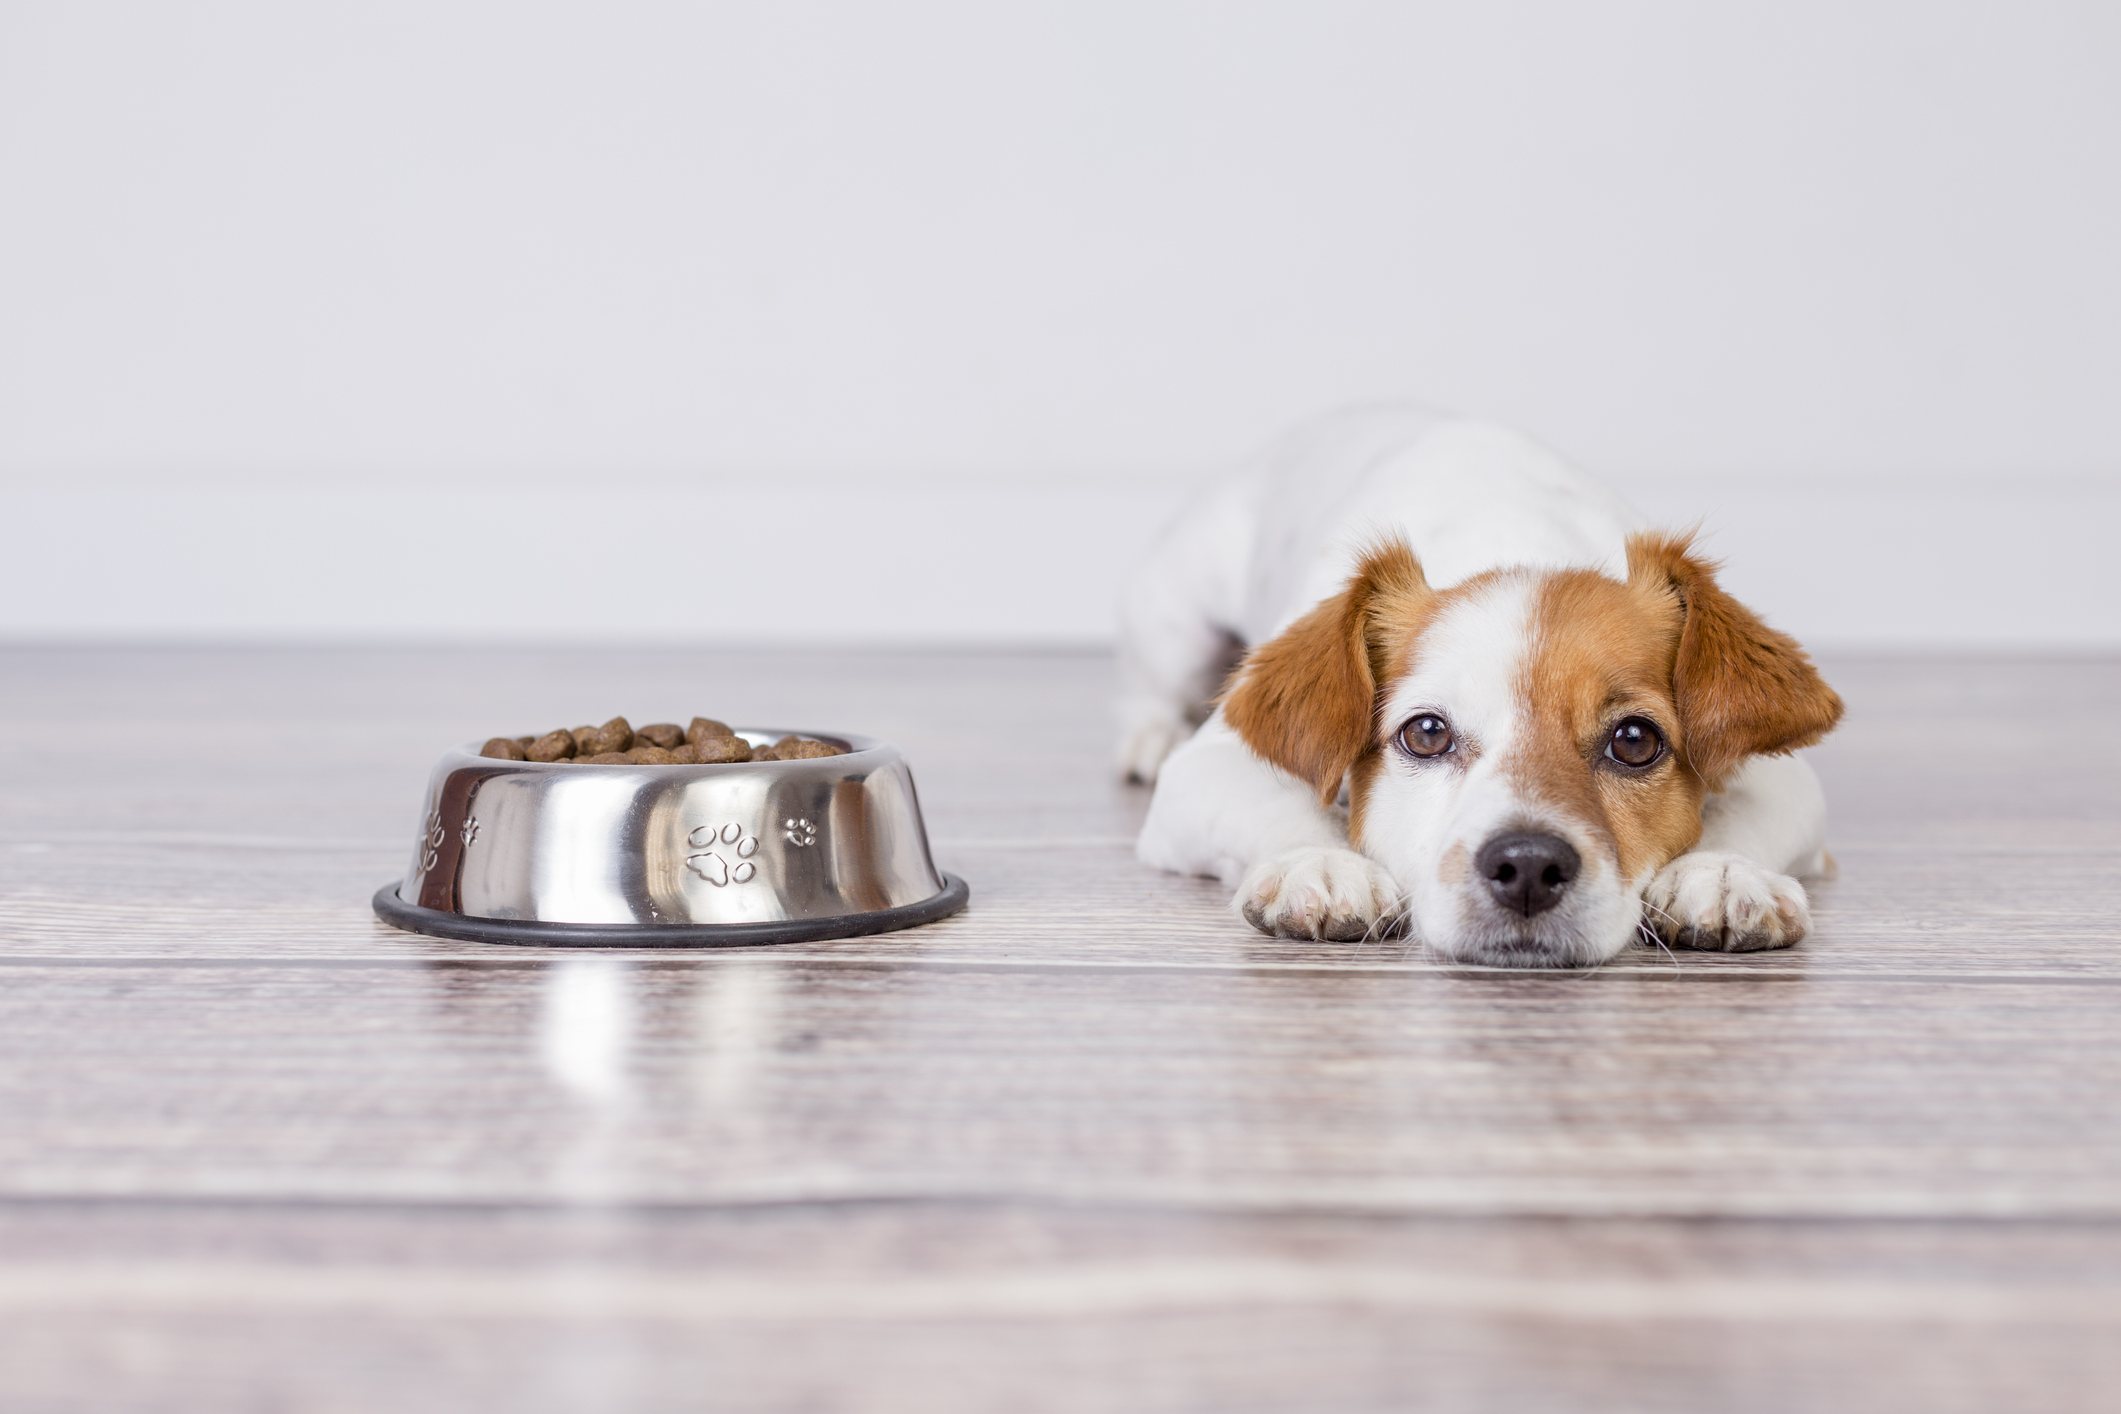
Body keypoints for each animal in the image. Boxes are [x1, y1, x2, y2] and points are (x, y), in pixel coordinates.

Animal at [1128, 402, 1841, 966]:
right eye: (1425, 733)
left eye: (1635, 740)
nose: (1527, 867)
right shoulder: (1209, 766)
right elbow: (1282, 803)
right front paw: (1319, 862)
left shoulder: (1781, 775)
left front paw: (1721, 872)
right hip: (1177, 624)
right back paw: (1147, 739)